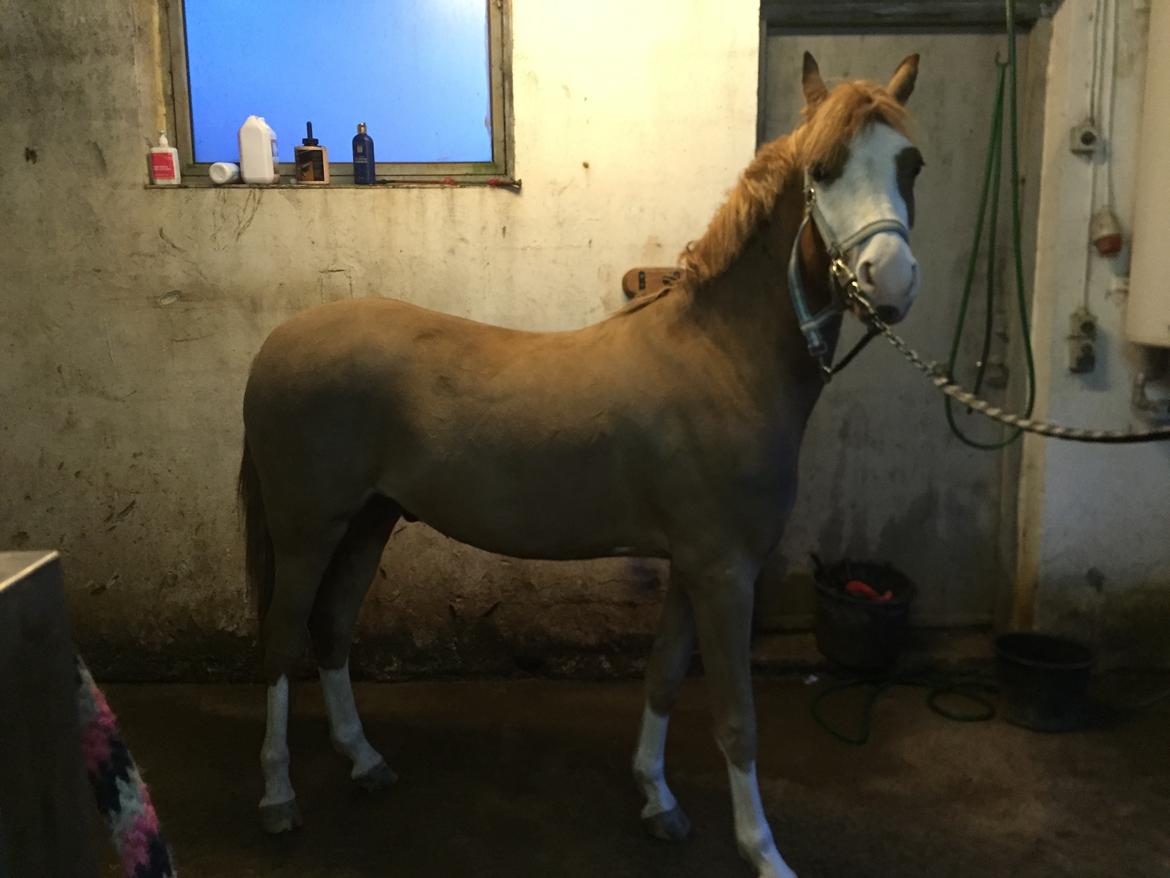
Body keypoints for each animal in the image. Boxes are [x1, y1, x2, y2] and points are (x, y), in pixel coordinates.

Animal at [237, 51, 924, 878]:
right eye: (823, 169)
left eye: (911, 164)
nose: (891, 279)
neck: (723, 358)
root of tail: (275, 345)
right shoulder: (726, 571)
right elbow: (737, 720)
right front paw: (764, 854)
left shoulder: (696, 565)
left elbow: (663, 676)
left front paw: (657, 800)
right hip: (308, 529)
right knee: (282, 642)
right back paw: (278, 797)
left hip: (370, 520)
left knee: (332, 627)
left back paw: (364, 761)